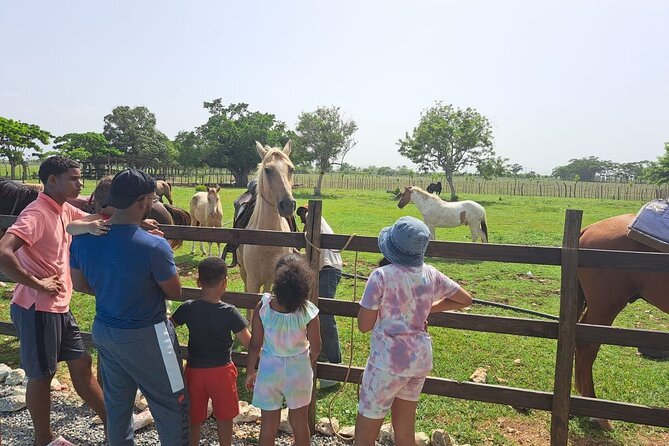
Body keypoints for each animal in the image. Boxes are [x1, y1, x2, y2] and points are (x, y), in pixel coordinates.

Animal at [237, 141, 294, 294]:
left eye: (291, 169)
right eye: (267, 170)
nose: (288, 204)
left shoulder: (271, 280)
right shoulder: (252, 281)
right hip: (244, 272)